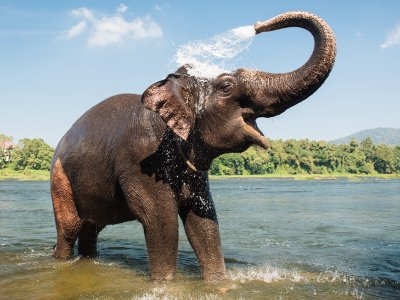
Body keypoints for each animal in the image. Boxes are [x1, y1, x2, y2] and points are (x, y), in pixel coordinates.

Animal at [51, 9, 336, 282]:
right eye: (226, 85)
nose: (257, 25)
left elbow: (203, 220)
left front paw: (218, 284)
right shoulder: (141, 158)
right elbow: (161, 220)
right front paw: (165, 285)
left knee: (92, 228)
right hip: (59, 178)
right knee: (70, 228)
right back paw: (61, 260)